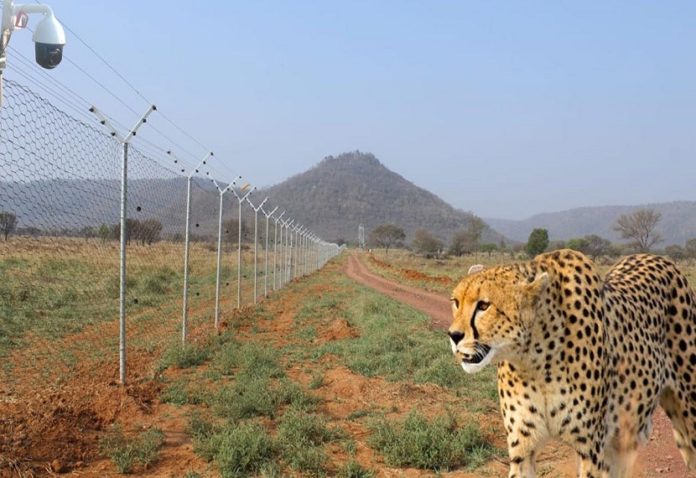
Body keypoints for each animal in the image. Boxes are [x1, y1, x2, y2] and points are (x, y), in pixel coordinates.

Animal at [448, 250, 692, 478]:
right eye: (456, 302)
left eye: (484, 305)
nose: (453, 335)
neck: (534, 359)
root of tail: (657, 257)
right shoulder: (523, 448)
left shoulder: (591, 449)